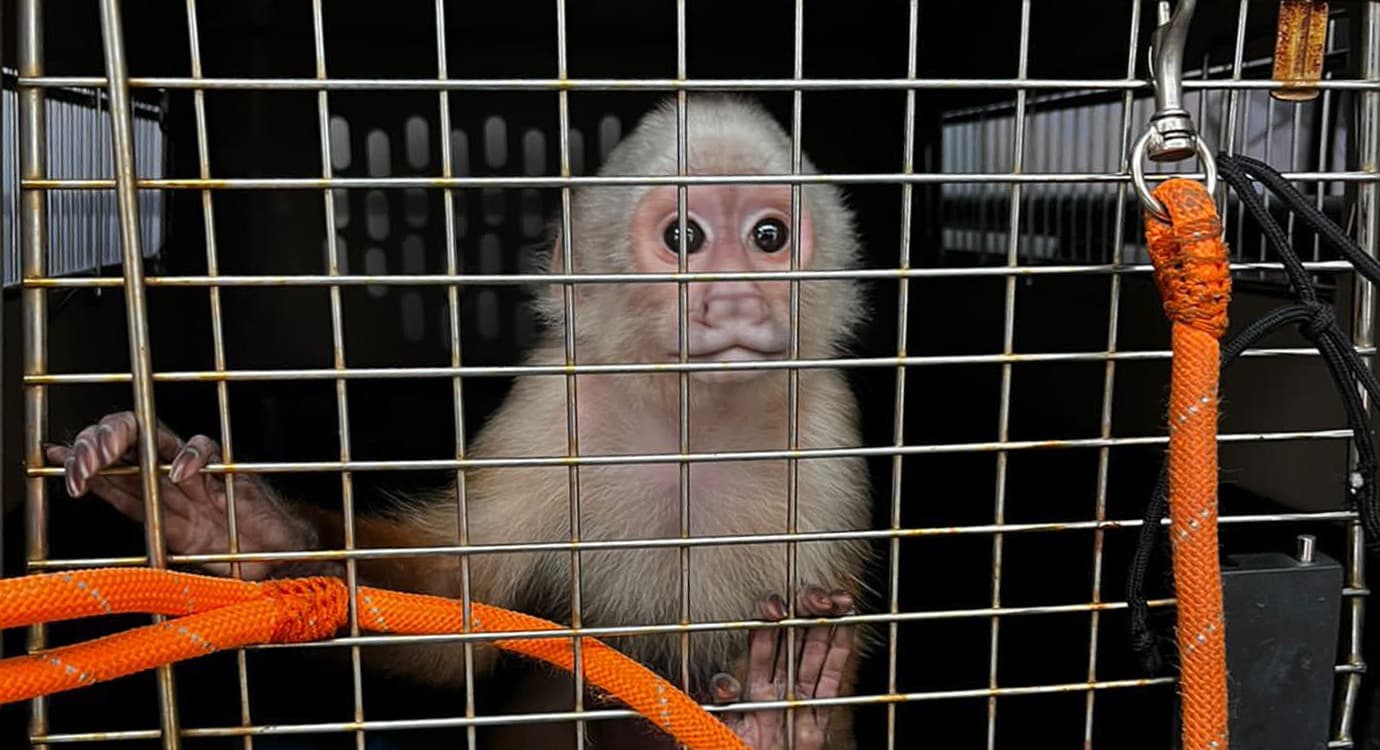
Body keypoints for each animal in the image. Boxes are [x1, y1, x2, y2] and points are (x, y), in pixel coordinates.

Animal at [46, 94, 876, 750]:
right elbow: (455, 609)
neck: (689, 429)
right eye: (684, 238)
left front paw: (785, 724)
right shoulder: (551, 414)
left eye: (768, 237)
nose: (734, 299)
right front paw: (246, 531)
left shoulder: (824, 433)